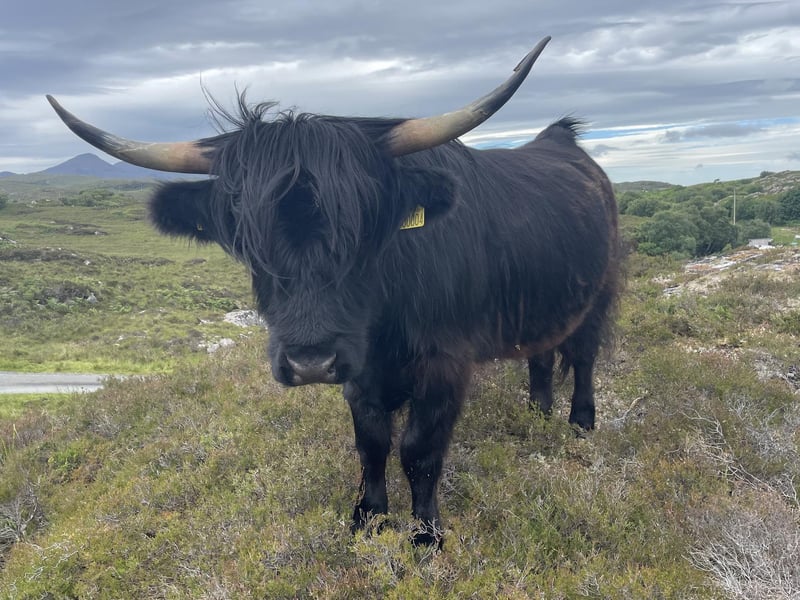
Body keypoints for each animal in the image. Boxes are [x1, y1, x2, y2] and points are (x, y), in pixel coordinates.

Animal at [47, 36, 620, 546]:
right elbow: (371, 443)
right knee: (541, 356)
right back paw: (536, 415)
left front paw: (425, 536)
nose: (309, 363)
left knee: (583, 355)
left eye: (364, 235)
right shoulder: (359, 370)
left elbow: (419, 450)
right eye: (247, 239)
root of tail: (563, 143)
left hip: (600, 292)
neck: (384, 324)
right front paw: (369, 518)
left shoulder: (444, 362)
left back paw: (579, 424)